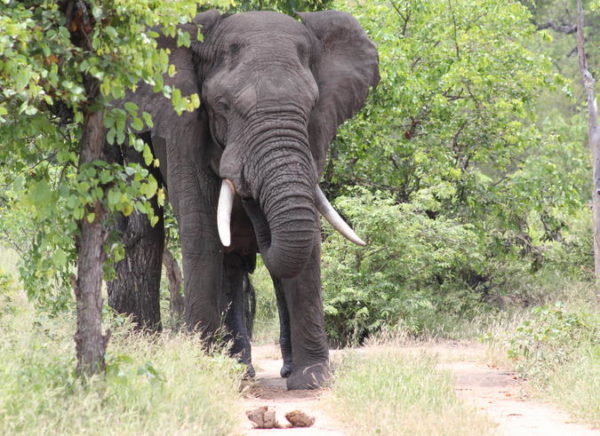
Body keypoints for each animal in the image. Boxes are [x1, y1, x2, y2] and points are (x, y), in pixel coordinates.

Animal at [116, 8, 380, 388]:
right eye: (223, 106)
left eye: (311, 105)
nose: (247, 192)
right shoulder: (183, 128)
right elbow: (202, 233)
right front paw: (207, 372)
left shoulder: (315, 136)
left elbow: (309, 239)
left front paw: (312, 380)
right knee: (228, 265)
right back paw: (240, 370)